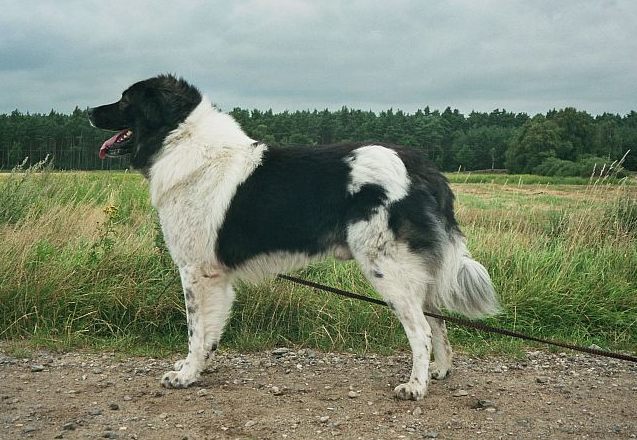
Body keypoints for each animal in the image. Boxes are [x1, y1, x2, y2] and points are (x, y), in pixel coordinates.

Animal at [87, 74, 500, 400]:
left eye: (125, 100)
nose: (89, 111)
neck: (180, 140)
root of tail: (420, 165)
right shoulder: (216, 276)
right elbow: (210, 333)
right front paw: (199, 367)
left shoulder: (195, 270)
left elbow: (196, 330)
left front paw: (186, 376)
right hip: (411, 270)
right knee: (437, 320)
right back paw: (439, 371)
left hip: (387, 268)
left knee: (421, 331)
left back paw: (415, 386)